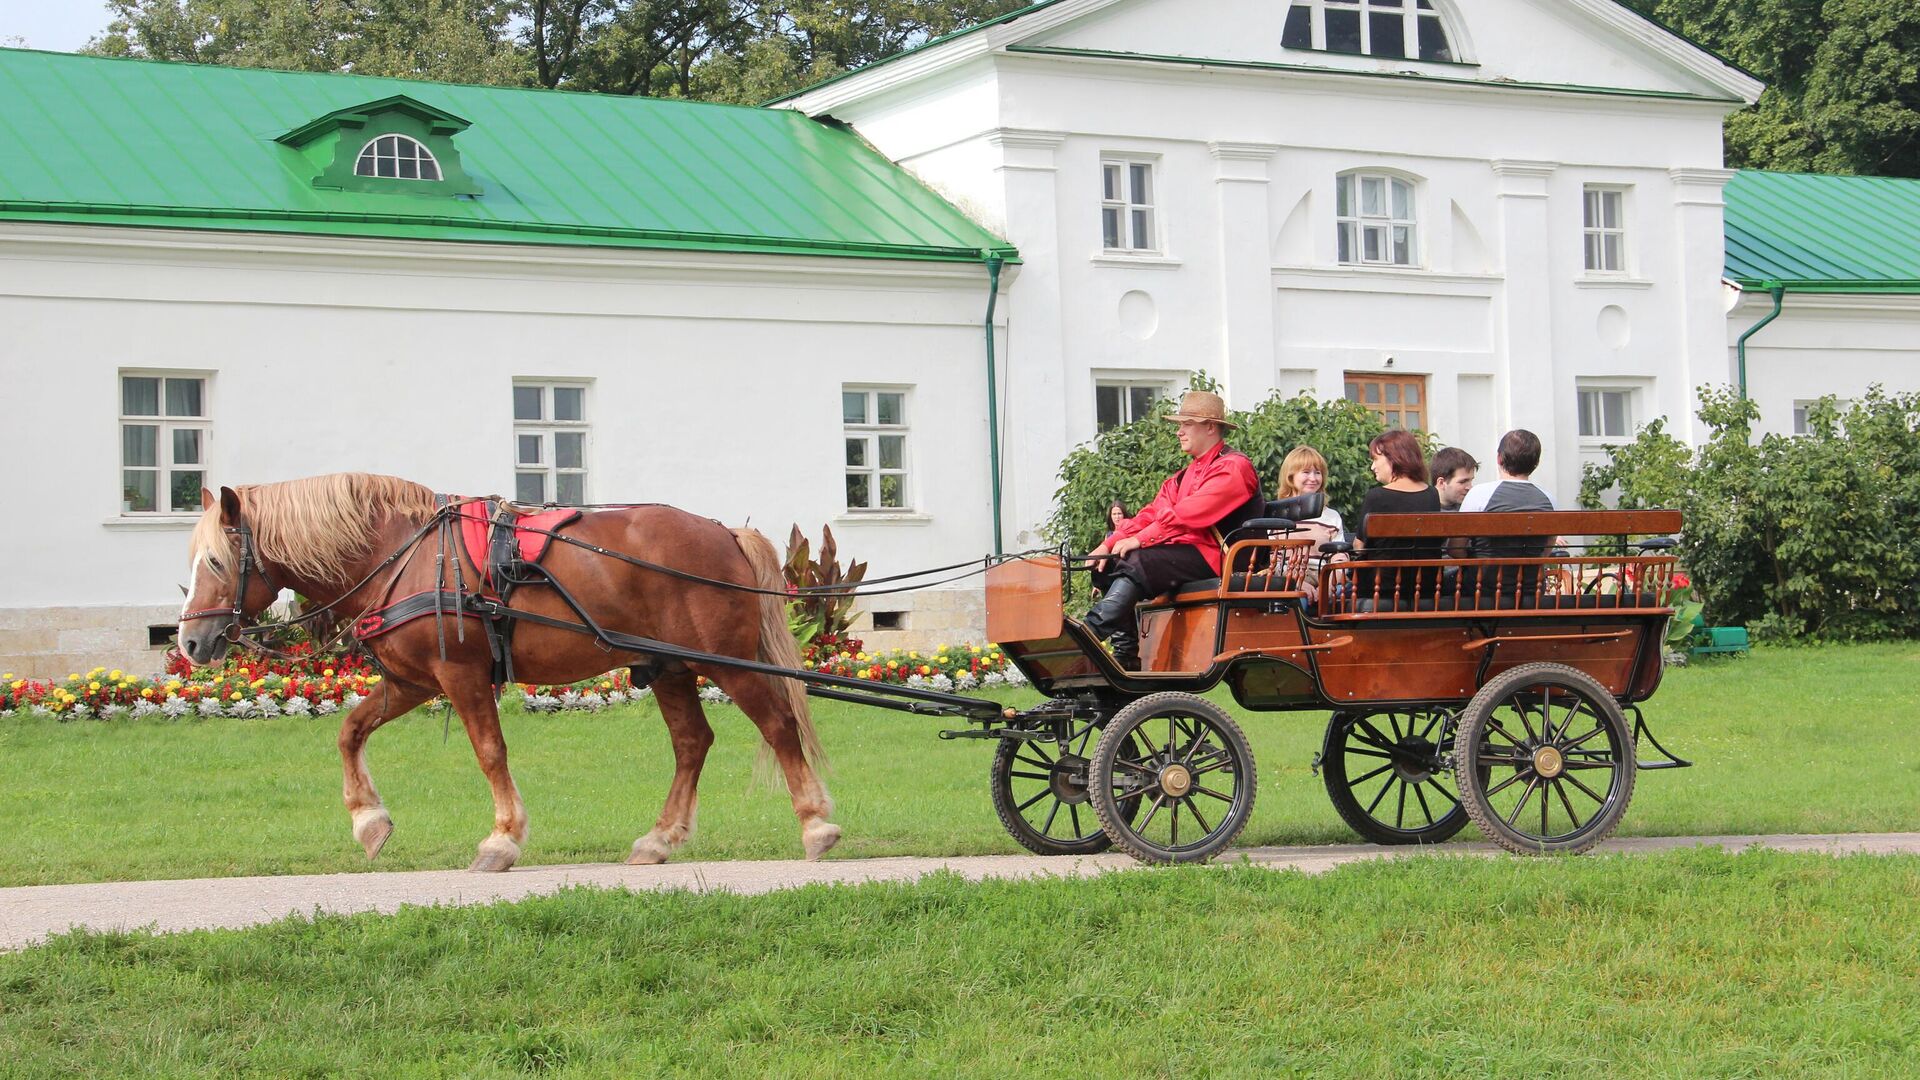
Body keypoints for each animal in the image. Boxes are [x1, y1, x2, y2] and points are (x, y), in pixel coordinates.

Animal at [176, 470, 837, 864]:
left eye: (216, 560)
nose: (190, 642)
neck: (403, 552)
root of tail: (725, 532)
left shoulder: (461, 676)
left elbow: (489, 752)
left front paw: (503, 836)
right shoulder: (413, 680)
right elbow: (350, 731)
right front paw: (369, 819)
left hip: (728, 665)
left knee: (778, 727)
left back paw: (815, 824)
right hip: (672, 668)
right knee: (692, 743)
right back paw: (660, 836)